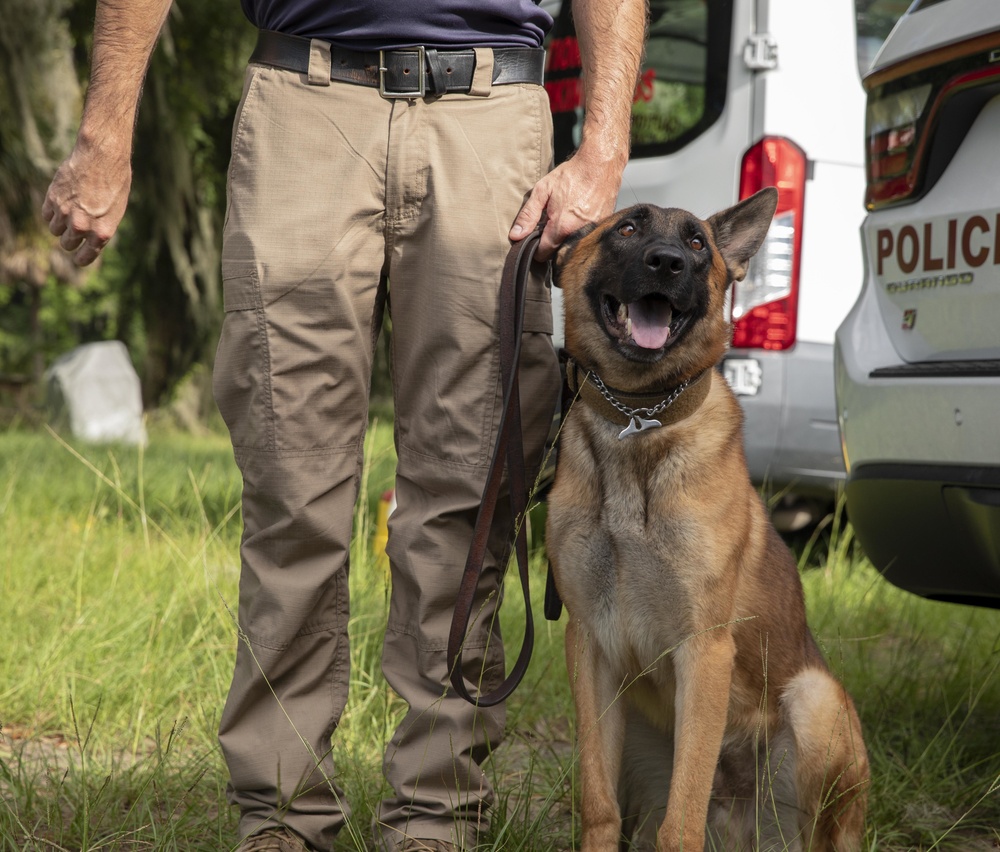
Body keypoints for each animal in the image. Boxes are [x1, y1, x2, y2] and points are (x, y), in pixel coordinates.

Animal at [548, 191, 868, 852]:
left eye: (697, 243)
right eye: (627, 228)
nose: (668, 262)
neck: (639, 420)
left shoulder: (705, 651)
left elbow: (682, 819)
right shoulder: (589, 648)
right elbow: (597, 802)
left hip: (815, 699)